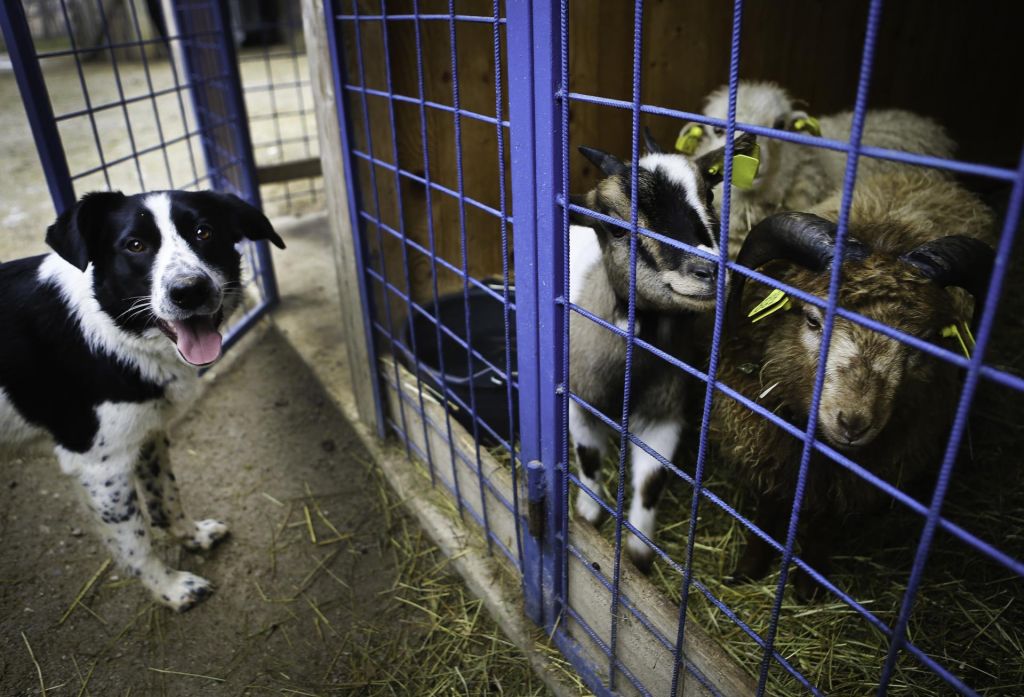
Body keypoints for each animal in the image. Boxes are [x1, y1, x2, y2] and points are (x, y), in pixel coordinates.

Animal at [0, 189, 284, 610]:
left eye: (204, 232)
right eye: (135, 245)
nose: (190, 290)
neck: (113, 326)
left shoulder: (147, 433)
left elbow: (167, 496)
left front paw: (192, 536)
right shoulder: (99, 466)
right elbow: (136, 544)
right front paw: (170, 588)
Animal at [712, 168, 991, 597]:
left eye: (924, 341)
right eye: (813, 320)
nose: (853, 423)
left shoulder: (859, 471)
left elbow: (823, 522)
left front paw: (807, 584)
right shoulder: (767, 440)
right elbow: (768, 505)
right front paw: (748, 569)